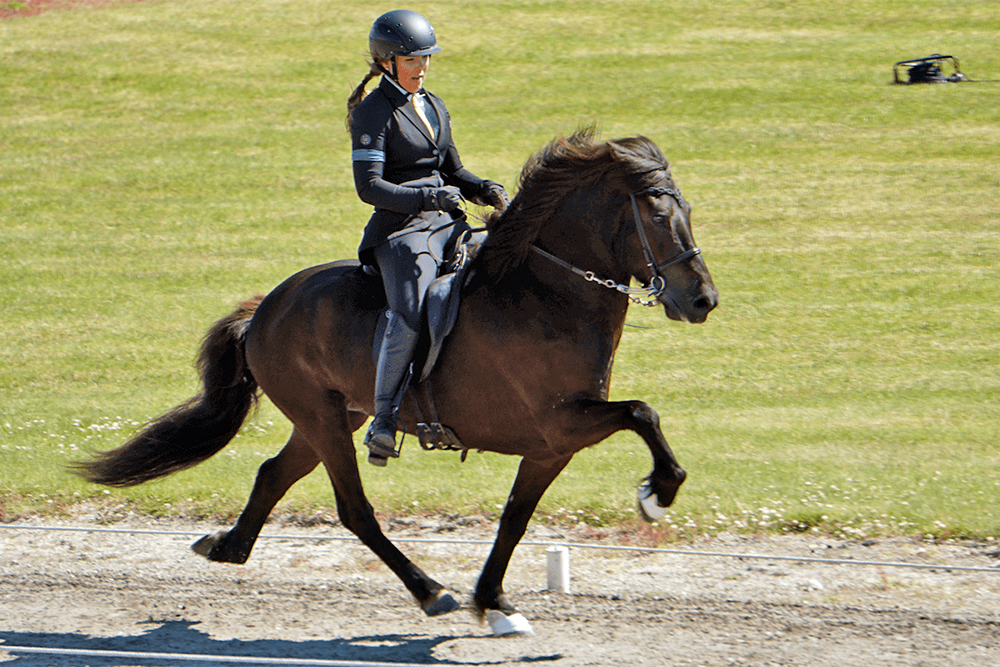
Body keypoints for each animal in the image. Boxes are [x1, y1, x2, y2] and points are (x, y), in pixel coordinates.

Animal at [76, 130, 720, 636]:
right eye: (657, 216)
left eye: (686, 211)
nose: (703, 300)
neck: (545, 294)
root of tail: (265, 308)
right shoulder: (561, 421)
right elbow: (641, 412)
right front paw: (658, 492)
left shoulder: (552, 445)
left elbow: (514, 519)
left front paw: (495, 604)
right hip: (322, 418)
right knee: (354, 509)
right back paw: (429, 590)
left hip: (333, 415)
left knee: (273, 474)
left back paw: (227, 546)